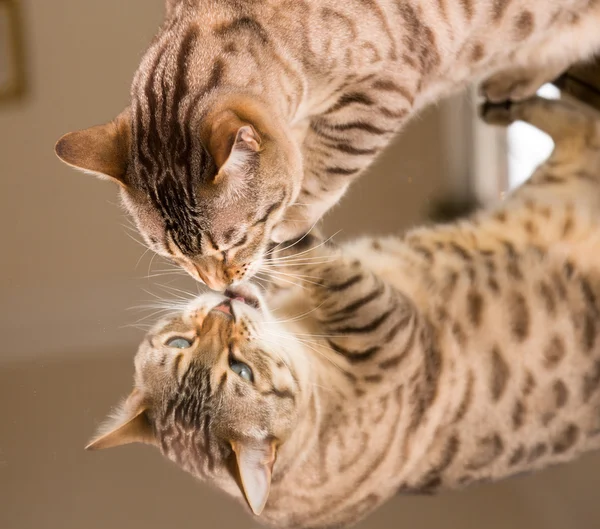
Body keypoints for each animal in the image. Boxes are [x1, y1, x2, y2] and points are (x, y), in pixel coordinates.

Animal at [54, 0, 600, 288]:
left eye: (234, 241)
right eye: (174, 258)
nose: (220, 286)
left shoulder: (381, 90)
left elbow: (328, 164)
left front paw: (292, 215)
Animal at [86, 96, 600, 528]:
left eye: (180, 342)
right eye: (242, 371)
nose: (224, 309)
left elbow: (279, 255)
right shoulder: (390, 329)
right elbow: (319, 260)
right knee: (580, 123)